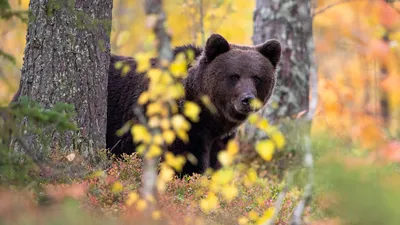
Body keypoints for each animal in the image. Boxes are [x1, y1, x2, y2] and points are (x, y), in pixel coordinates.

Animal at [106, 33, 282, 176]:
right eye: (234, 76)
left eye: (257, 78)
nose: (247, 99)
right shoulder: (181, 127)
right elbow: (186, 165)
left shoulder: (220, 141)